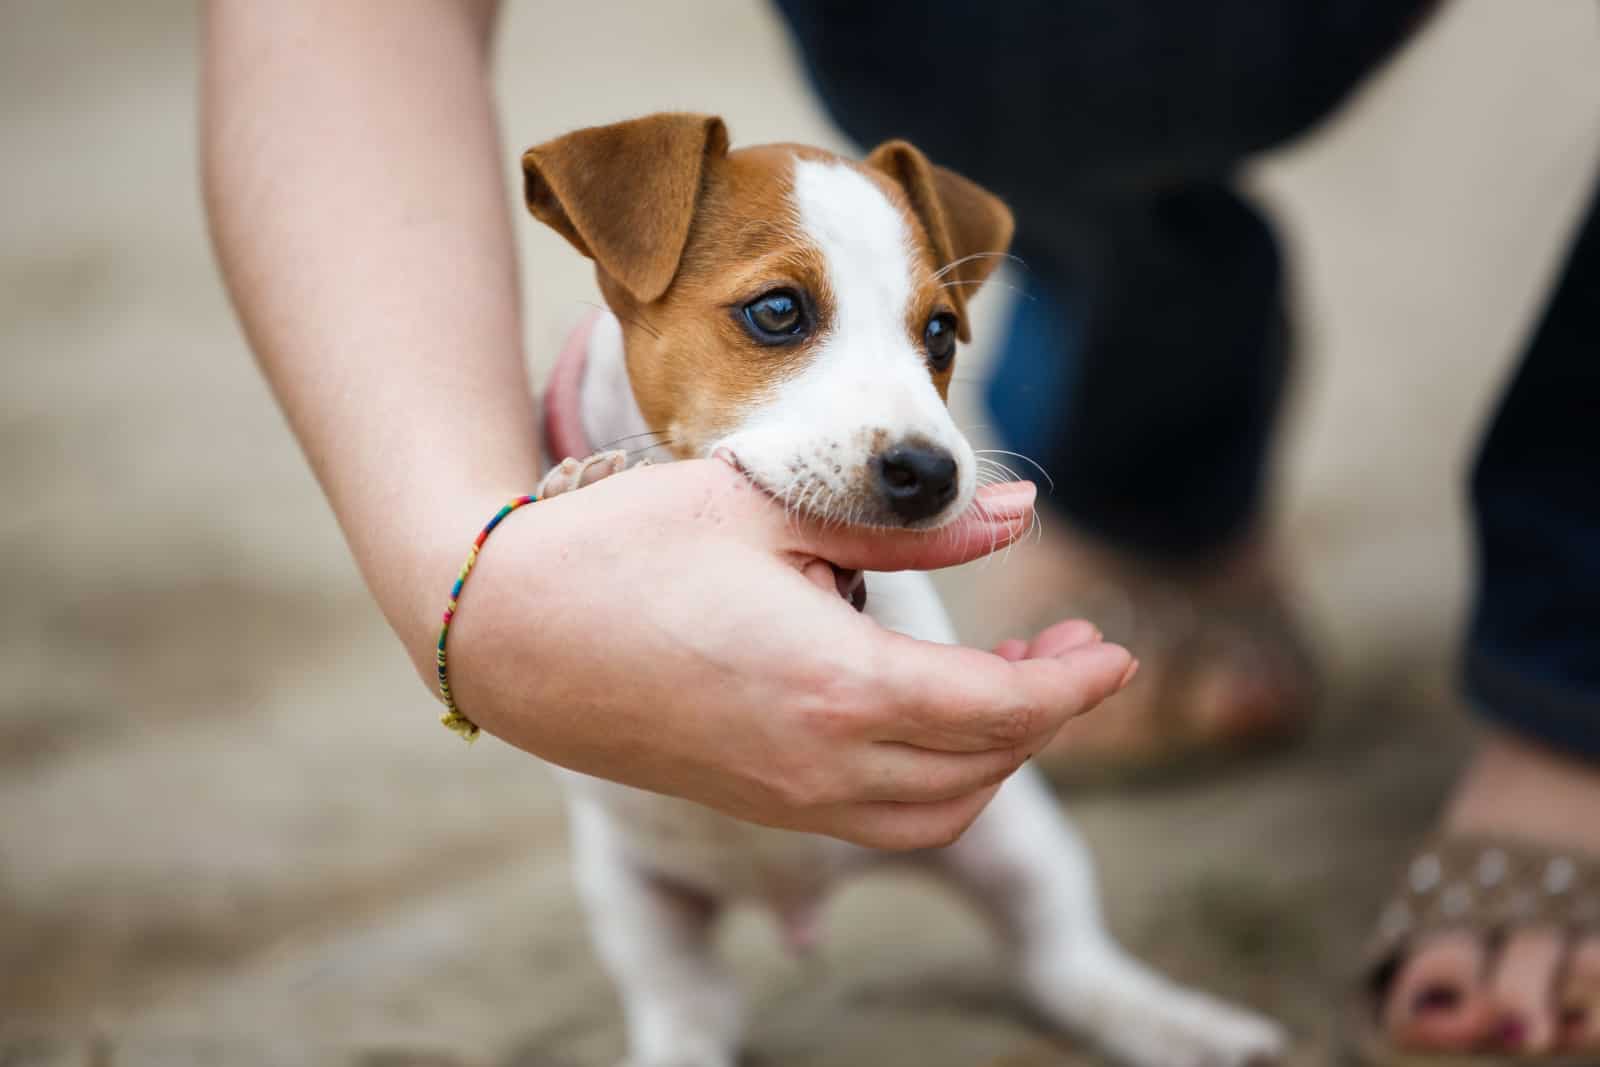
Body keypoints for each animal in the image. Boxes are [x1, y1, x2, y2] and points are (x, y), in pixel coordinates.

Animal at [524, 115, 1286, 1067]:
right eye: (777, 311)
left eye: (941, 334)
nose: (930, 473)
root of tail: (800, 893)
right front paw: (583, 490)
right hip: (638, 904)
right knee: (688, 1012)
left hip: (1014, 843)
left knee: (1062, 960)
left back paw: (1174, 1021)